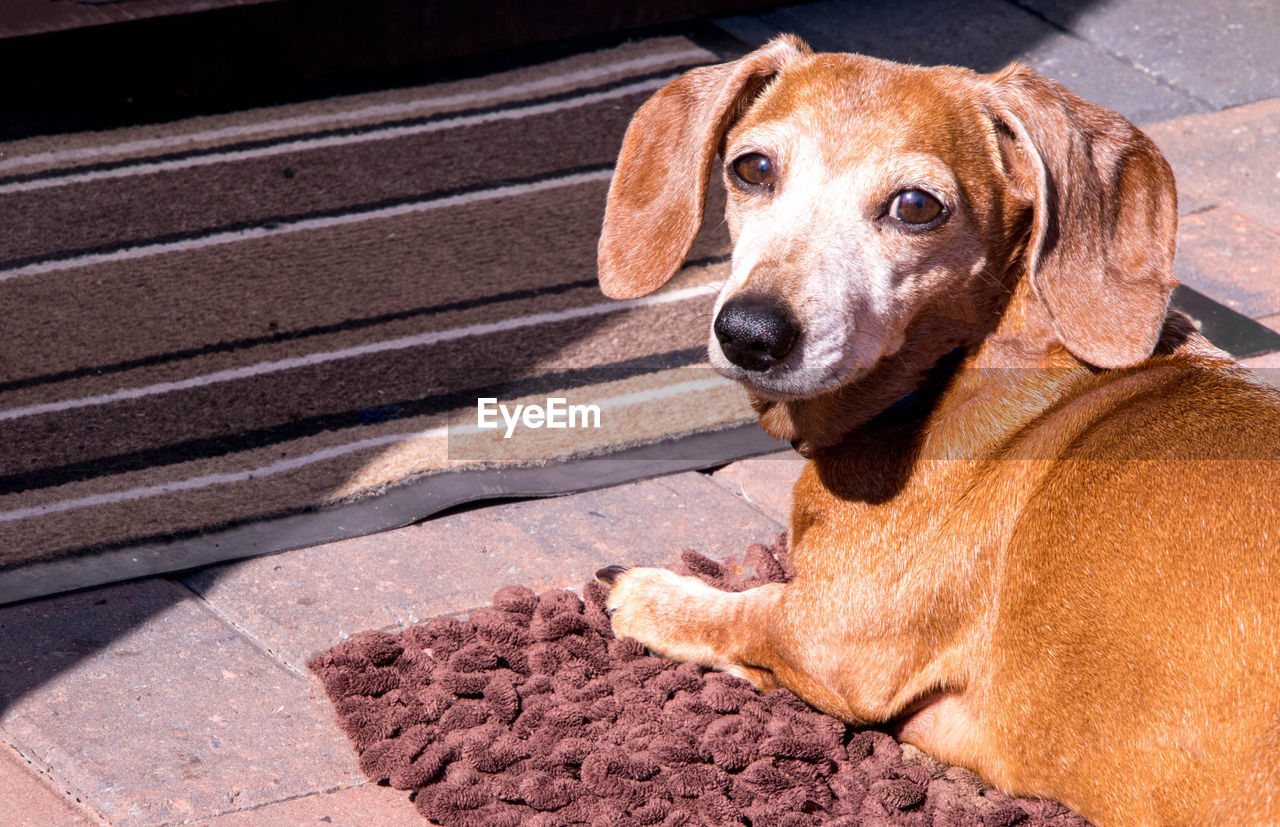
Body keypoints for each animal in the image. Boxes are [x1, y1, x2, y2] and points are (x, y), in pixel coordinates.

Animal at [593, 35, 1280, 824]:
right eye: (752, 168)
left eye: (916, 206)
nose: (750, 333)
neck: (957, 369)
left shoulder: (834, 638)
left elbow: (752, 612)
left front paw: (648, 592)